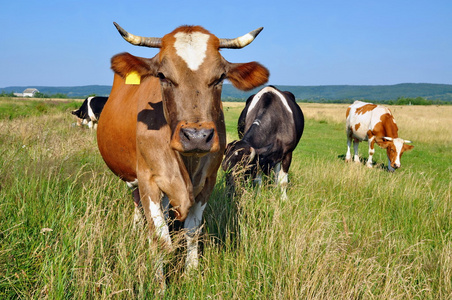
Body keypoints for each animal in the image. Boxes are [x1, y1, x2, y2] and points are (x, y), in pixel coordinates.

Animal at [96, 21, 268, 284]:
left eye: (220, 77)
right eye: (162, 76)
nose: (196, 136)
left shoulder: (208, 181)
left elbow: (192, 230)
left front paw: (192, 273)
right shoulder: (148, 179)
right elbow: (159, 239)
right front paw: (158, 284)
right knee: (137, 204)